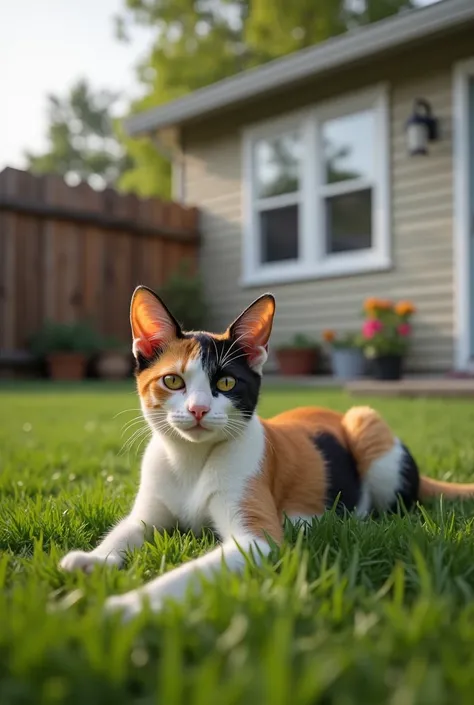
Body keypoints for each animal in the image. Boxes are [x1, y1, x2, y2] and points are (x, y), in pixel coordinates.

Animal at [59, 286, 474, 616]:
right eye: (173, 381)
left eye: (227, 382)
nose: (198, 409)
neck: (190, 462)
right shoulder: (146, 514)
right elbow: (123, 532)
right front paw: (91, 560)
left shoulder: (256, 541)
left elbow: (188, 574)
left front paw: (126, 606)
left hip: (367, 426)